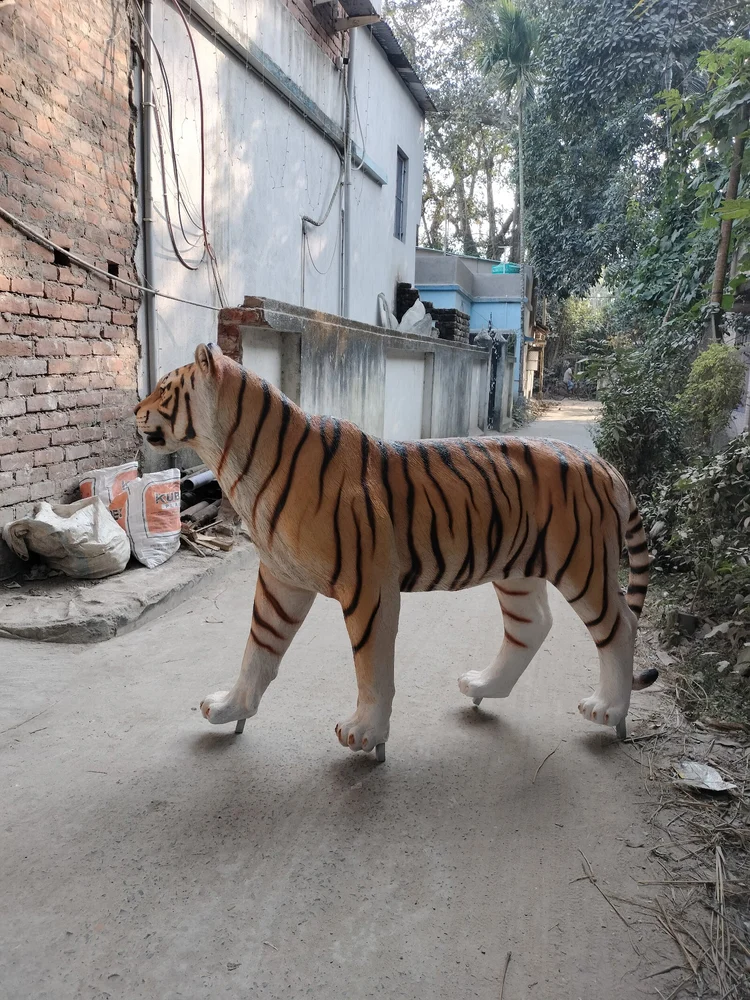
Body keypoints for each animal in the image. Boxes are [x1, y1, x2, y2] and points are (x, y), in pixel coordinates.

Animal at [134, 343, 657, 759]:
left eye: (163, 388)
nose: (135, 409)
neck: (235, 466)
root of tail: (605, 466)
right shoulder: (280, 579)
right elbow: (258, 647)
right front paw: (232, 708)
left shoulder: (368, 586)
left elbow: (371, 666)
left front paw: (365, 734)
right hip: (517, 572)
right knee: (532, 625)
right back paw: (484, 687)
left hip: (583, 565)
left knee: (619, 626)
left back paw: (609, 710)